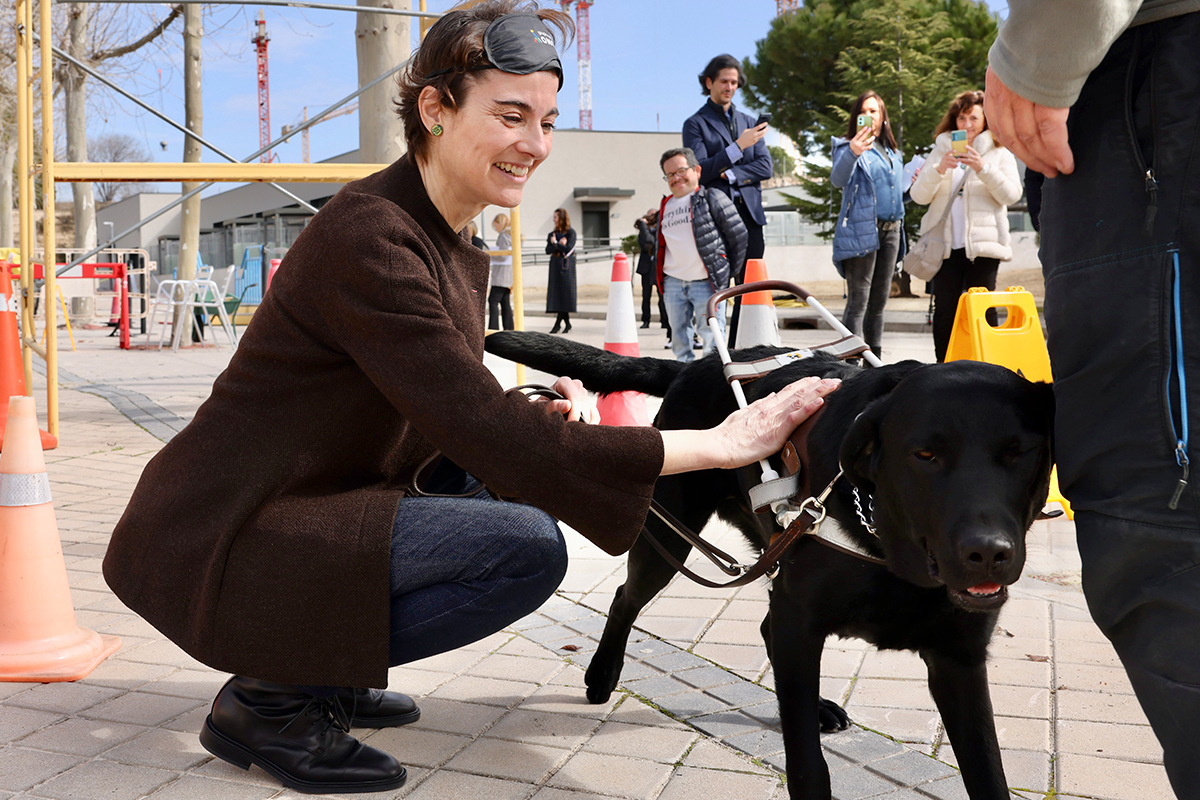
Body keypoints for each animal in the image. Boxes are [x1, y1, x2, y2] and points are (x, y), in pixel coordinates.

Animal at [482, 333, 1056, 800]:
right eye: (925, 455)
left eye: (1020, 452)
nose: (988, 553)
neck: (890, 549)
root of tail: (696, 363)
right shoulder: (802, 620)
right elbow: (808, 768)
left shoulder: (959, 660)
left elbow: (989, 774)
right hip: (671, 534)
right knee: (628, 597)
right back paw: (603, 673)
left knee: (764, 627)